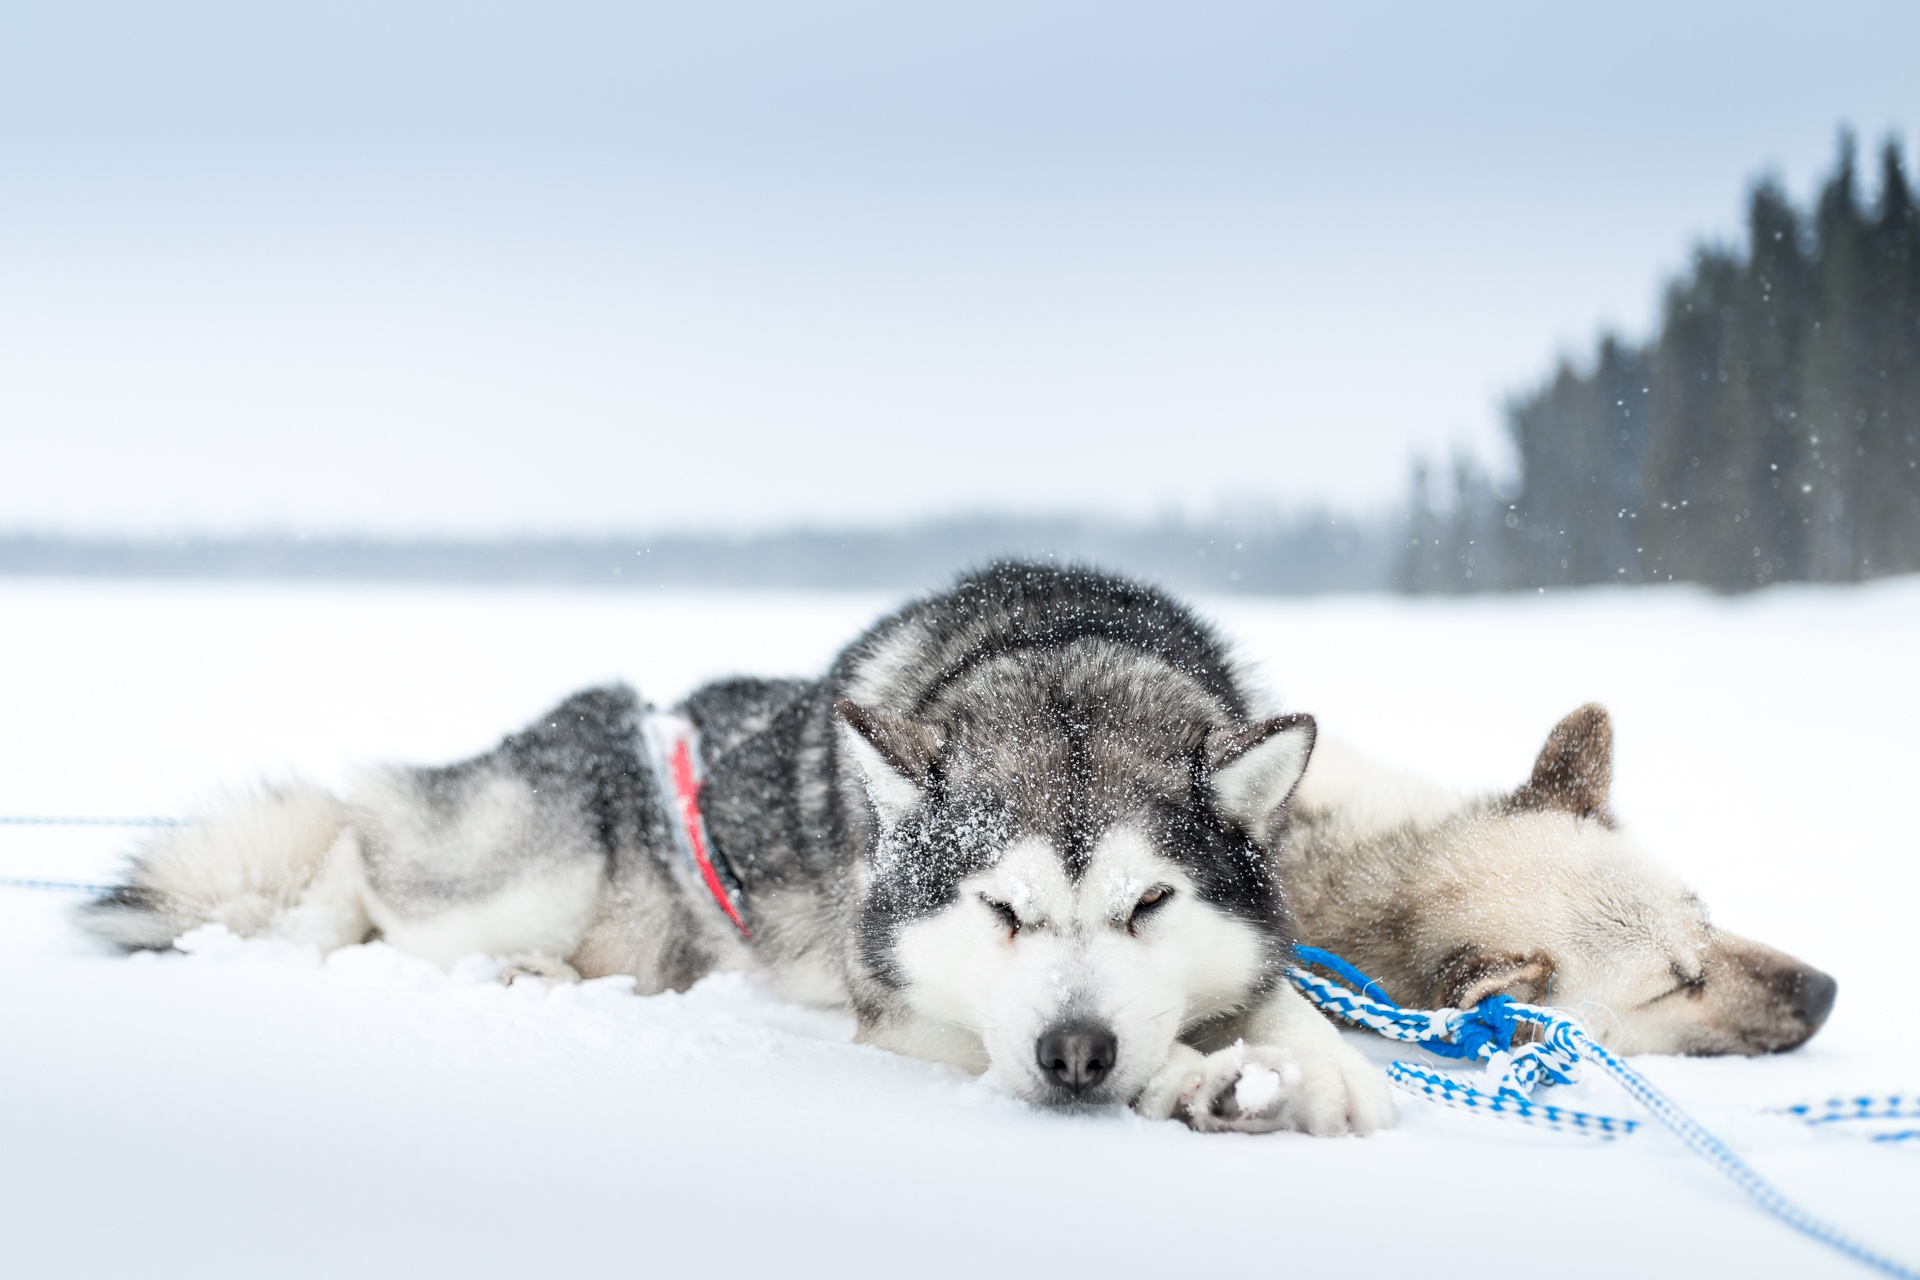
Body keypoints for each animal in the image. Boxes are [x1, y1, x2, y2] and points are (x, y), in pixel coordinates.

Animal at [78, 564, 1397, 1136]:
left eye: (1150, 902)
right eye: (1001, 909)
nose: (1077, 1052)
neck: (1059, 647)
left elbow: (1283, 1001)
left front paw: (1311, 1063)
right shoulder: (899, 1010)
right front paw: (1187, 1072)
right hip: (525, 866)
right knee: (362, 854)